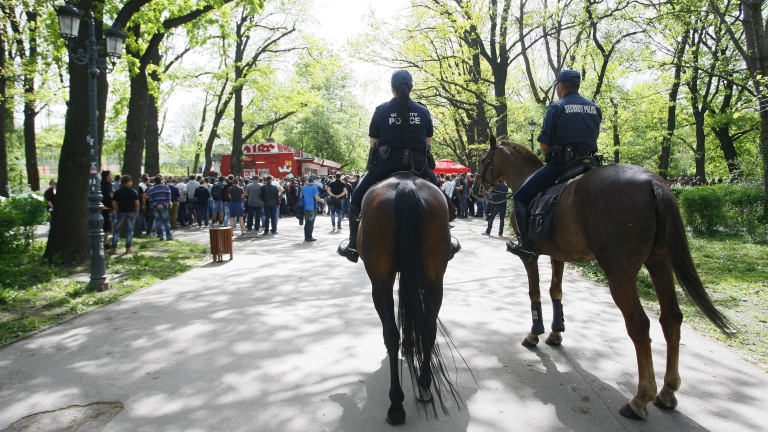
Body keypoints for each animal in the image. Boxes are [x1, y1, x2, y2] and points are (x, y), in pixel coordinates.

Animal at [356, 171, 460, 422]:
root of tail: (405, 185)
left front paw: (409, 345)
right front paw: (411, 345)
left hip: (380, 281)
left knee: (390, 333)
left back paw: (396, 404)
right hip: (434, 277)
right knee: (429, 326)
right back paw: (424, 386)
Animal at [474, 138, 732, 418]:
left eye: (483, 160)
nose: (476, 188)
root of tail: (652, 182)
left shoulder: (529, 255)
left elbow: (535, 293)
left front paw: (535, 334)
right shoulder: (558, 255)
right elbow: (556, 291)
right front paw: (555, 333)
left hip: (620, 273)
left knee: (639, 324)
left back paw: (640, 398)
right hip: (661, 264)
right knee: (671, 319)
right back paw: (667, 391)